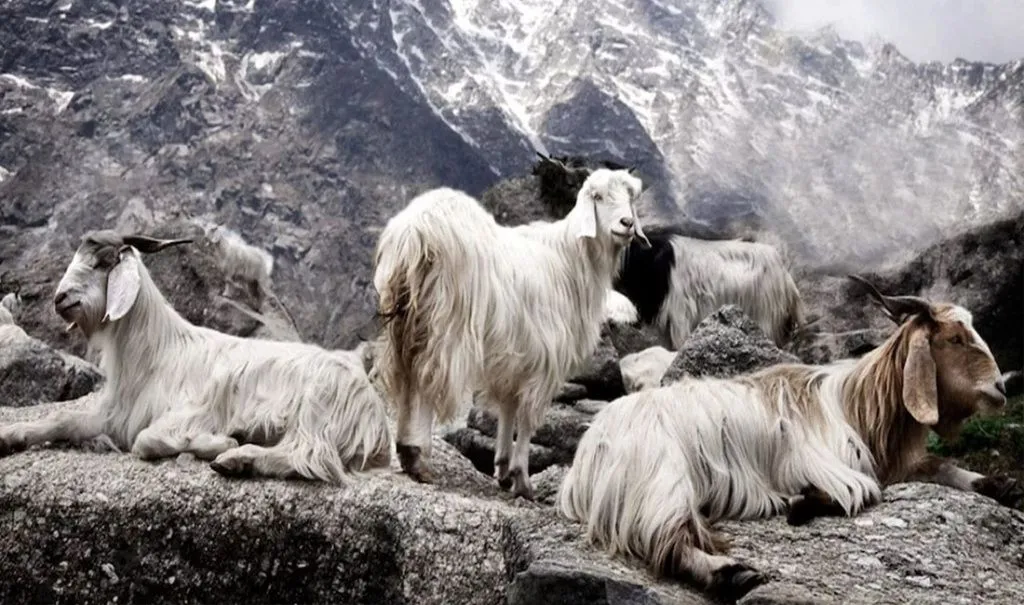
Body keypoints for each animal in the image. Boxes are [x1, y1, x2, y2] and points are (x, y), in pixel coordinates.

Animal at [0, 230, 392, 482]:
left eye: (100, 264)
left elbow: (146, 441)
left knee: (311, 456)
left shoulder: (191, 410)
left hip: (316, 406)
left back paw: (237, 458)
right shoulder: (117, 413)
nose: (60, 299)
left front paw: (219, 441)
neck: (157, 350)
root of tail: (373, 416)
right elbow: (63, 420)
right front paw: (11, 435)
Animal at [373, 168, 650, 499]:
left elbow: (507, 407)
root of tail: (415, 231)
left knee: (405, 375)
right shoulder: (546, 357)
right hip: (446, 321)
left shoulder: (515, 355)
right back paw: (420, 458)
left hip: (403, 320)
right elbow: (528, 420)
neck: (571, 260)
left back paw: (405, 451)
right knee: (427, 379)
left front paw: (503, 469)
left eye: (631, 196)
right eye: (597, 196)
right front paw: (522, 478)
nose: (627, 224)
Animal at [558, 275, 1018, 601]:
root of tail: (588, 454)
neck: (858, 404)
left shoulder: (894, 462)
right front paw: (802, 502)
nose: (1000, 389)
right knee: (667, 541)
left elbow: (939, 467)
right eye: (955, 338)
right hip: (661, 481)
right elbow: (864, 492)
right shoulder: (831, 464)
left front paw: (999, 484)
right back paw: (730, 573)